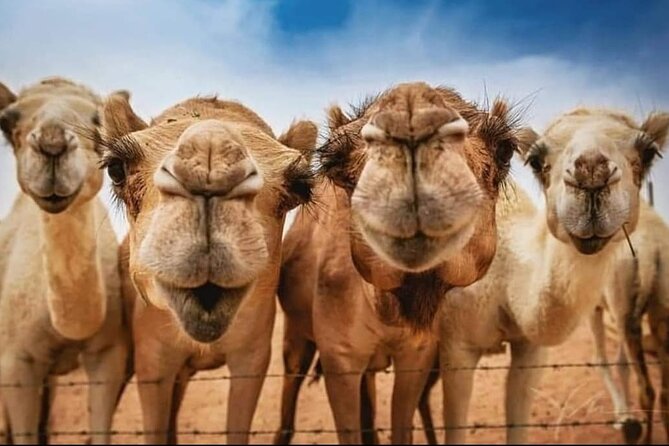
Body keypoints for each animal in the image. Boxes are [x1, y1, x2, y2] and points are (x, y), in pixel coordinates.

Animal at [274, 82, 523, 444]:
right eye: (335, 158)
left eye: (505, 148)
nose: (410, 112)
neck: (388, 313)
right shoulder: (340, 357)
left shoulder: (417, 354)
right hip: (296, 332)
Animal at [590, 201, 669, 443]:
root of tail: (654, 250)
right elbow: (619, 363)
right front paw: (625, 415)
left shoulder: (594, 306)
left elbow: (604, 361)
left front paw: (622, 417)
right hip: (659, 311)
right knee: (664, 394)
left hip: (625, 308)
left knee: (647, 391)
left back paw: (642, 438)